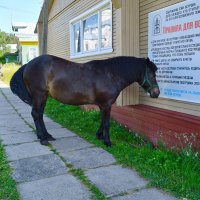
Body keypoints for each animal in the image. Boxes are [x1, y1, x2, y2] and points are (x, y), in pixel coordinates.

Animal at [9, 54, 159, 147]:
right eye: (152, 74)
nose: (156, 93)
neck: (110, 74)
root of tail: (28, 65)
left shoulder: (103, 105)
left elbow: (102, 121)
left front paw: (99, 136)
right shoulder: (106, 104)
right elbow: (107, 123)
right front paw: (107, 142)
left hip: (44, 96)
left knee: (39, 115)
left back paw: (46, 136)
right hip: (39, 95)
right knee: (36, 114)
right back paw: (43, 139)